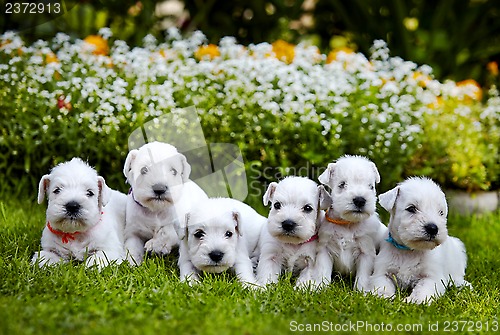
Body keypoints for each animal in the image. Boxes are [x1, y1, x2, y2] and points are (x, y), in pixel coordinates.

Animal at [312, 157, 386, 292]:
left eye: (371, 186)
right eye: (342, 184)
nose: (360, 200)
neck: (348, 223)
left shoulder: (366, 252)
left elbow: (363, 276)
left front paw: (362, 292)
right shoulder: (325, 249)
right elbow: (323, 271)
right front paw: (320, 288)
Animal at [370, 177, 470, 306]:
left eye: (441, 212)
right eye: (411, 208)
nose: (433, 228)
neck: (409, 251)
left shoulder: (432, 277)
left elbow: (423, 288)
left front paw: (415, 300)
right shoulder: (382, 272)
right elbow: (382, 285)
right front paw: (383, 297)